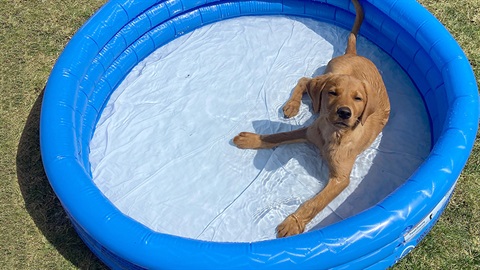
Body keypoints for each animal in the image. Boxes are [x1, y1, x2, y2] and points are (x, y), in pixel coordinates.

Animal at [232, 0, 390, 237]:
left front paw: (293, 223)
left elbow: (315, 202)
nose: (345, 113)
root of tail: (354, 54)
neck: (333, 133)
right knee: (306, 80)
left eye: (358, 98)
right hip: (330, 71)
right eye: (333, 93)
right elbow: (277, 136)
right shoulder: (308, 131)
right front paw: (252, 139)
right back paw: (292, 105)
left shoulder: (341, 179)